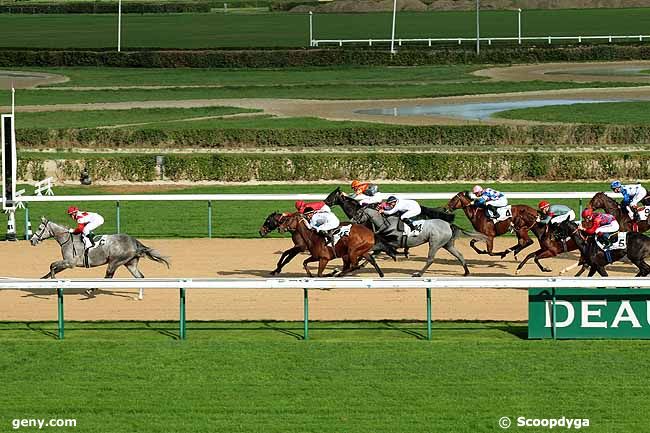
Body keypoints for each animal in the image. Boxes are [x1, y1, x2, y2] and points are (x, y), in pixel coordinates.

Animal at [31, 218, 170, 298]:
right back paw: (140, 296)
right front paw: (42, 280)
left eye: (39, 228)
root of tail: (134, 241)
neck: (67, 239)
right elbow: (52, 268)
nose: (32, 240)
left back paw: (90, 290)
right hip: (130, 263)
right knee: (140, 277)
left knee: (108, 277)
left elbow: (52, 265)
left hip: (115, 261)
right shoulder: (67, 263)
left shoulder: (70, 263)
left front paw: (53, 282)